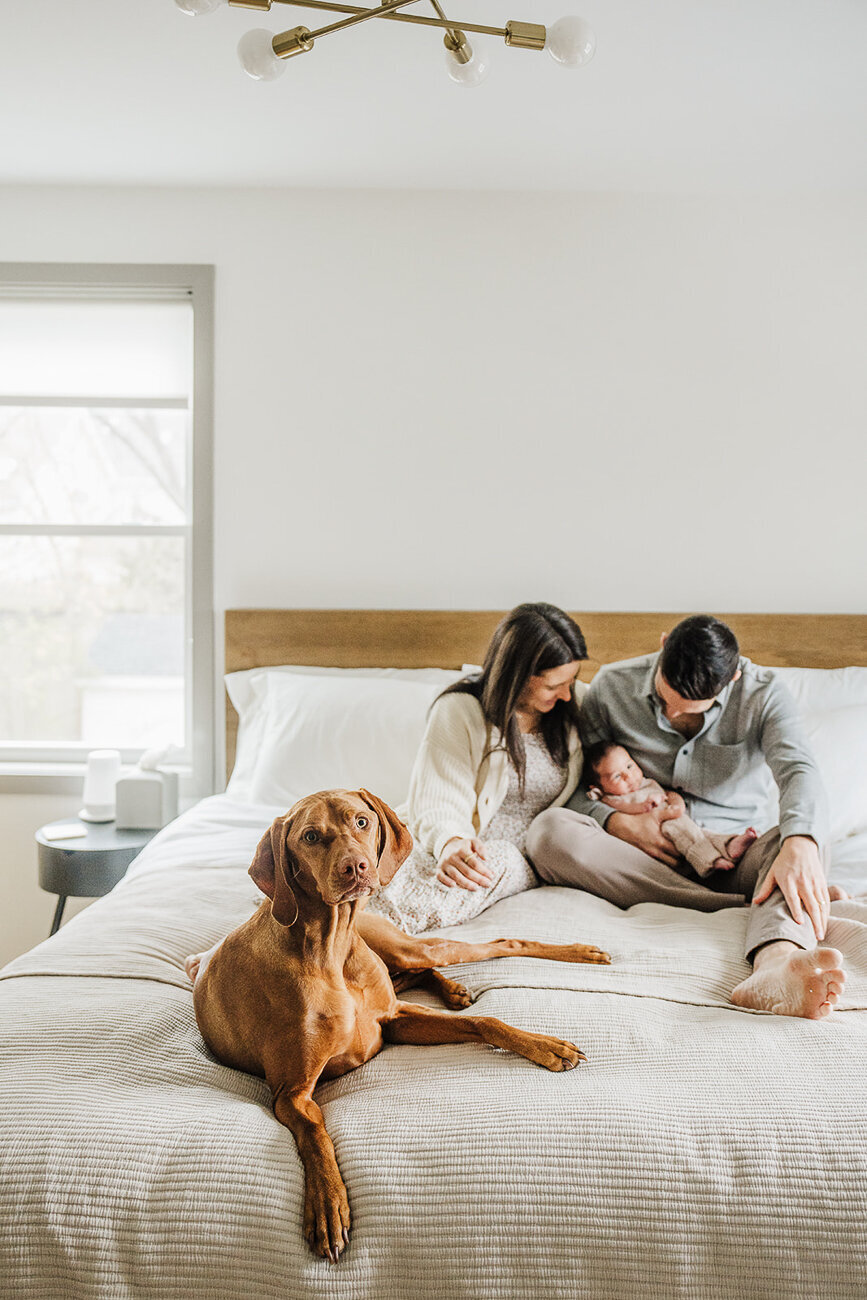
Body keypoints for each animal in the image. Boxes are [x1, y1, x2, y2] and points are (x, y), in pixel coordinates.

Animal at [188, 785, 610, 1263]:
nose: (356, 867)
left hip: (408, 949)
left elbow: (488, 1019)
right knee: (435, 968)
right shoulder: (290, 1093)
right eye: (311, 836)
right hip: (404, 961)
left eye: (361, 821)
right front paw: (328, 1205)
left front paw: (546, 1046)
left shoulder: (392, 1019)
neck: (333, 947)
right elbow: (316, 1133)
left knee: (498, 943)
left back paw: (579, 952)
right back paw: (456, 989)